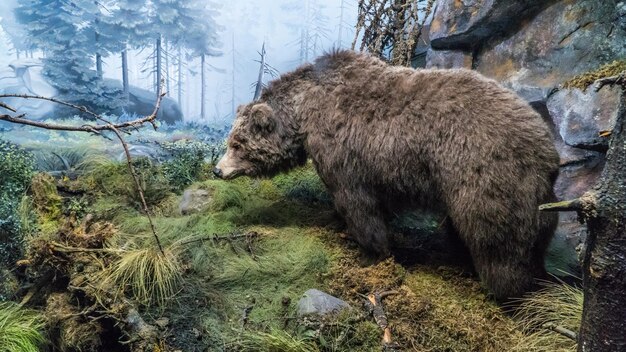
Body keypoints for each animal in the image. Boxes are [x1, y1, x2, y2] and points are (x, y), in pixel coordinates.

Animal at [214, 49, 556, 302]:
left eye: (237, 143)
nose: (218, 169)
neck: (304, 111)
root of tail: (548, 147)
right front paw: (337, 223)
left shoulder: (347, 155)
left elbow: (358, 204)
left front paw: (371, 253)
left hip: (483, 174)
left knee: (498, 242)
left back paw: (509, 294)